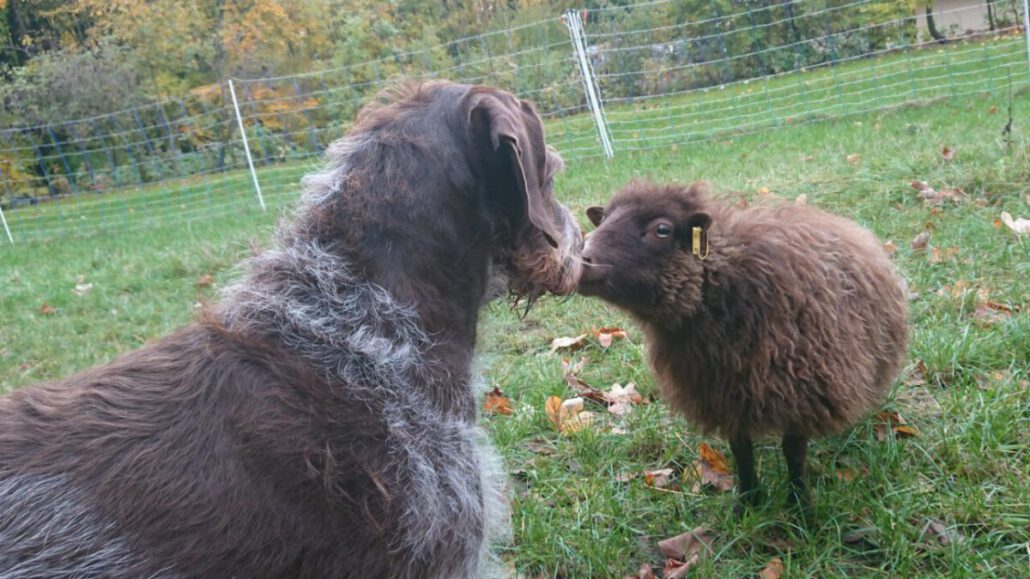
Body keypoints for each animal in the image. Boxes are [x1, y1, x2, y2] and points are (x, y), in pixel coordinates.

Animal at [578, 181, 909, 513]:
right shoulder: (721, 392)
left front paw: (798, 506)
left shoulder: (802, 387)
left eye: (662, 229)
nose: (581, 260)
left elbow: (793, 450)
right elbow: (741, 448)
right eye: (602, 219)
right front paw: (748, 501)